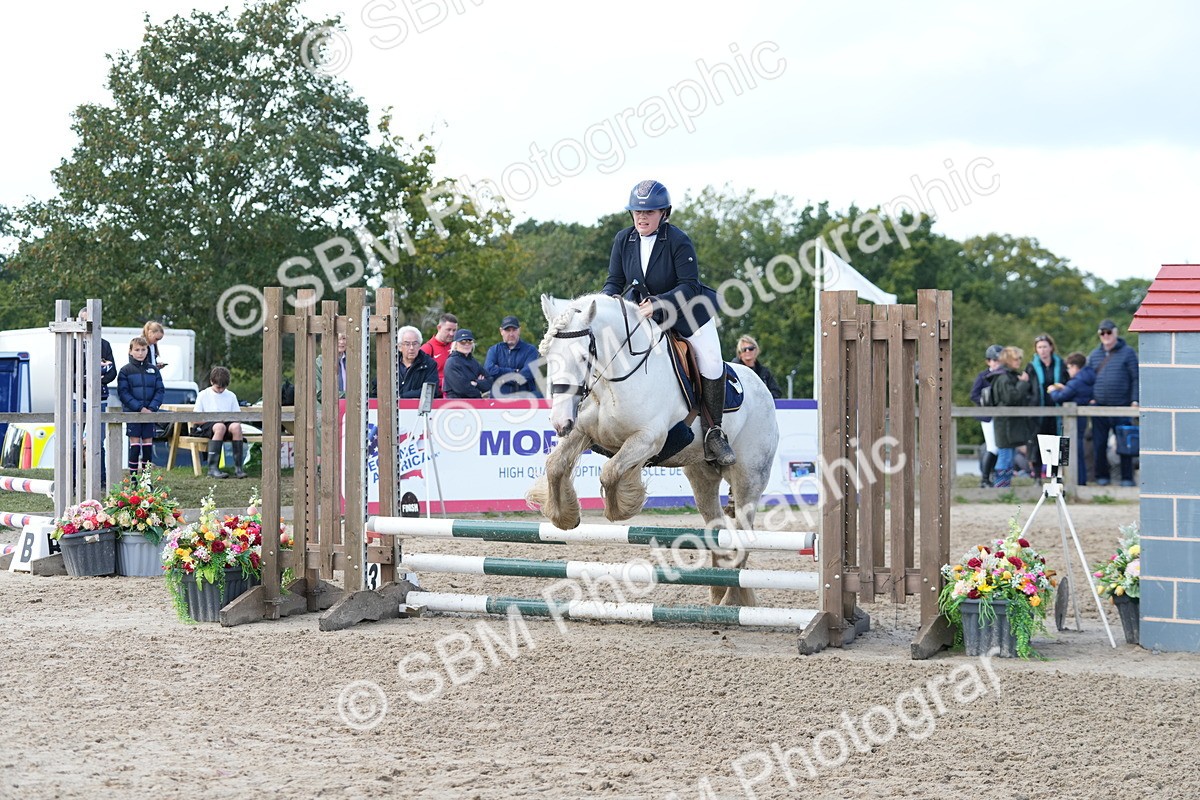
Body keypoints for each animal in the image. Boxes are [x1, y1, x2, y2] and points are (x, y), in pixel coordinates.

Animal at [525, 293, 780, 606]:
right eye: (549, 357)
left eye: (584, 357)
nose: (560, 422)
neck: (617, 378)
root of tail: (761, 387)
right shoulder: (582, 432)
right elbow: (555, 466)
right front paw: (566, 517)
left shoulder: (648, 439)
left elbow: (611, 472)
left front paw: (623, 507)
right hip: (701, 476)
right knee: (718, 528)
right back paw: (718, 593)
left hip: (749, 478)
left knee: (744, 533)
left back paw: (732, 599)